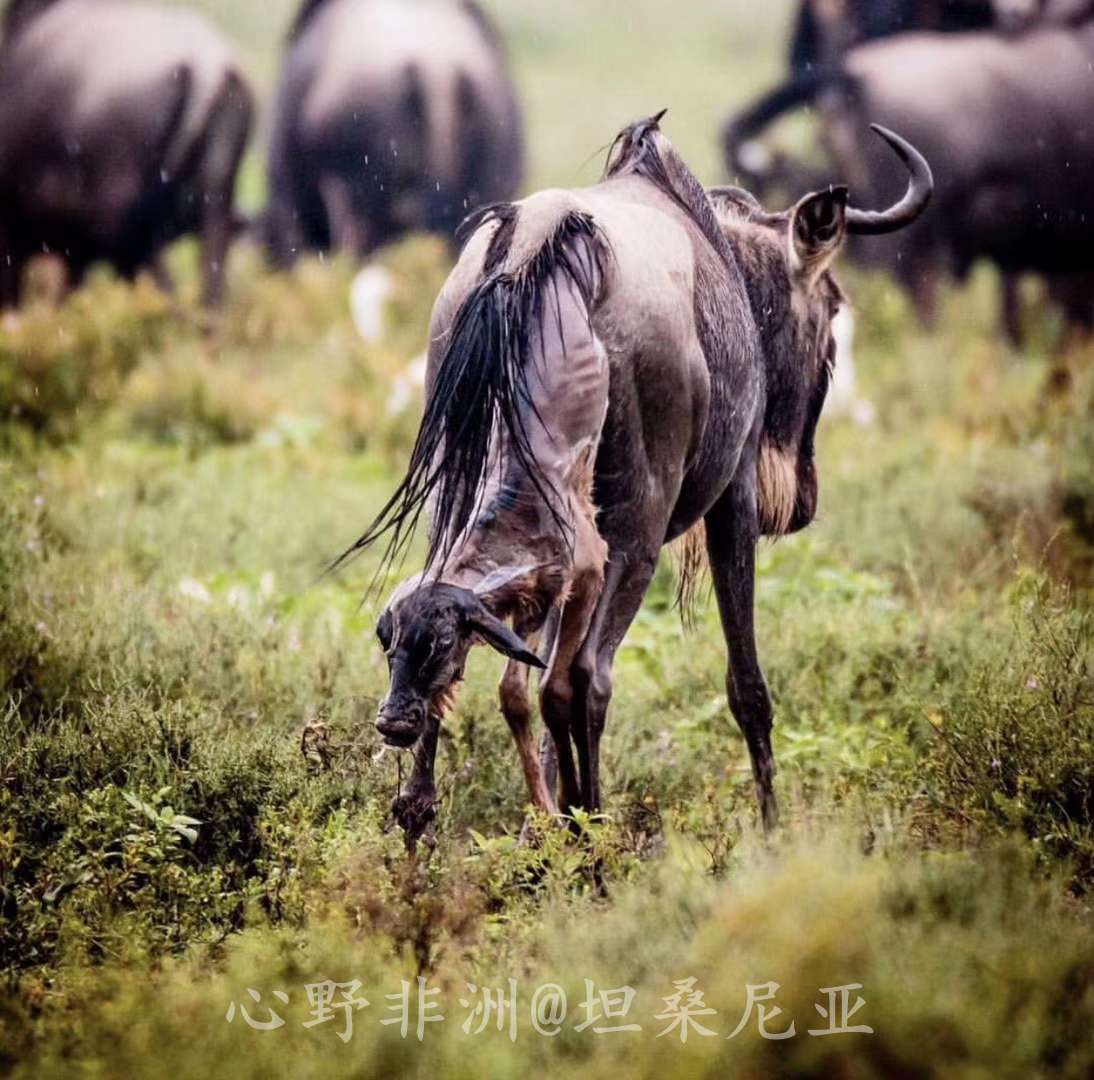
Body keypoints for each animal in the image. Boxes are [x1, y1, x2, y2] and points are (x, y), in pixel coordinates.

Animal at [343, 113, 932, 849]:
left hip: (472, 489)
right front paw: (770, 831)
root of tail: (534, 245)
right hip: (636, 527)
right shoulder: (730, 498)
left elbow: (519, 674)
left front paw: (540, 822)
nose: (799, 501)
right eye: (832, 307)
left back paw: (431, 815)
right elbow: (746, 683)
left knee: (494, 633)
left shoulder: (557, 555)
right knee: (586, 678)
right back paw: (593, 837)